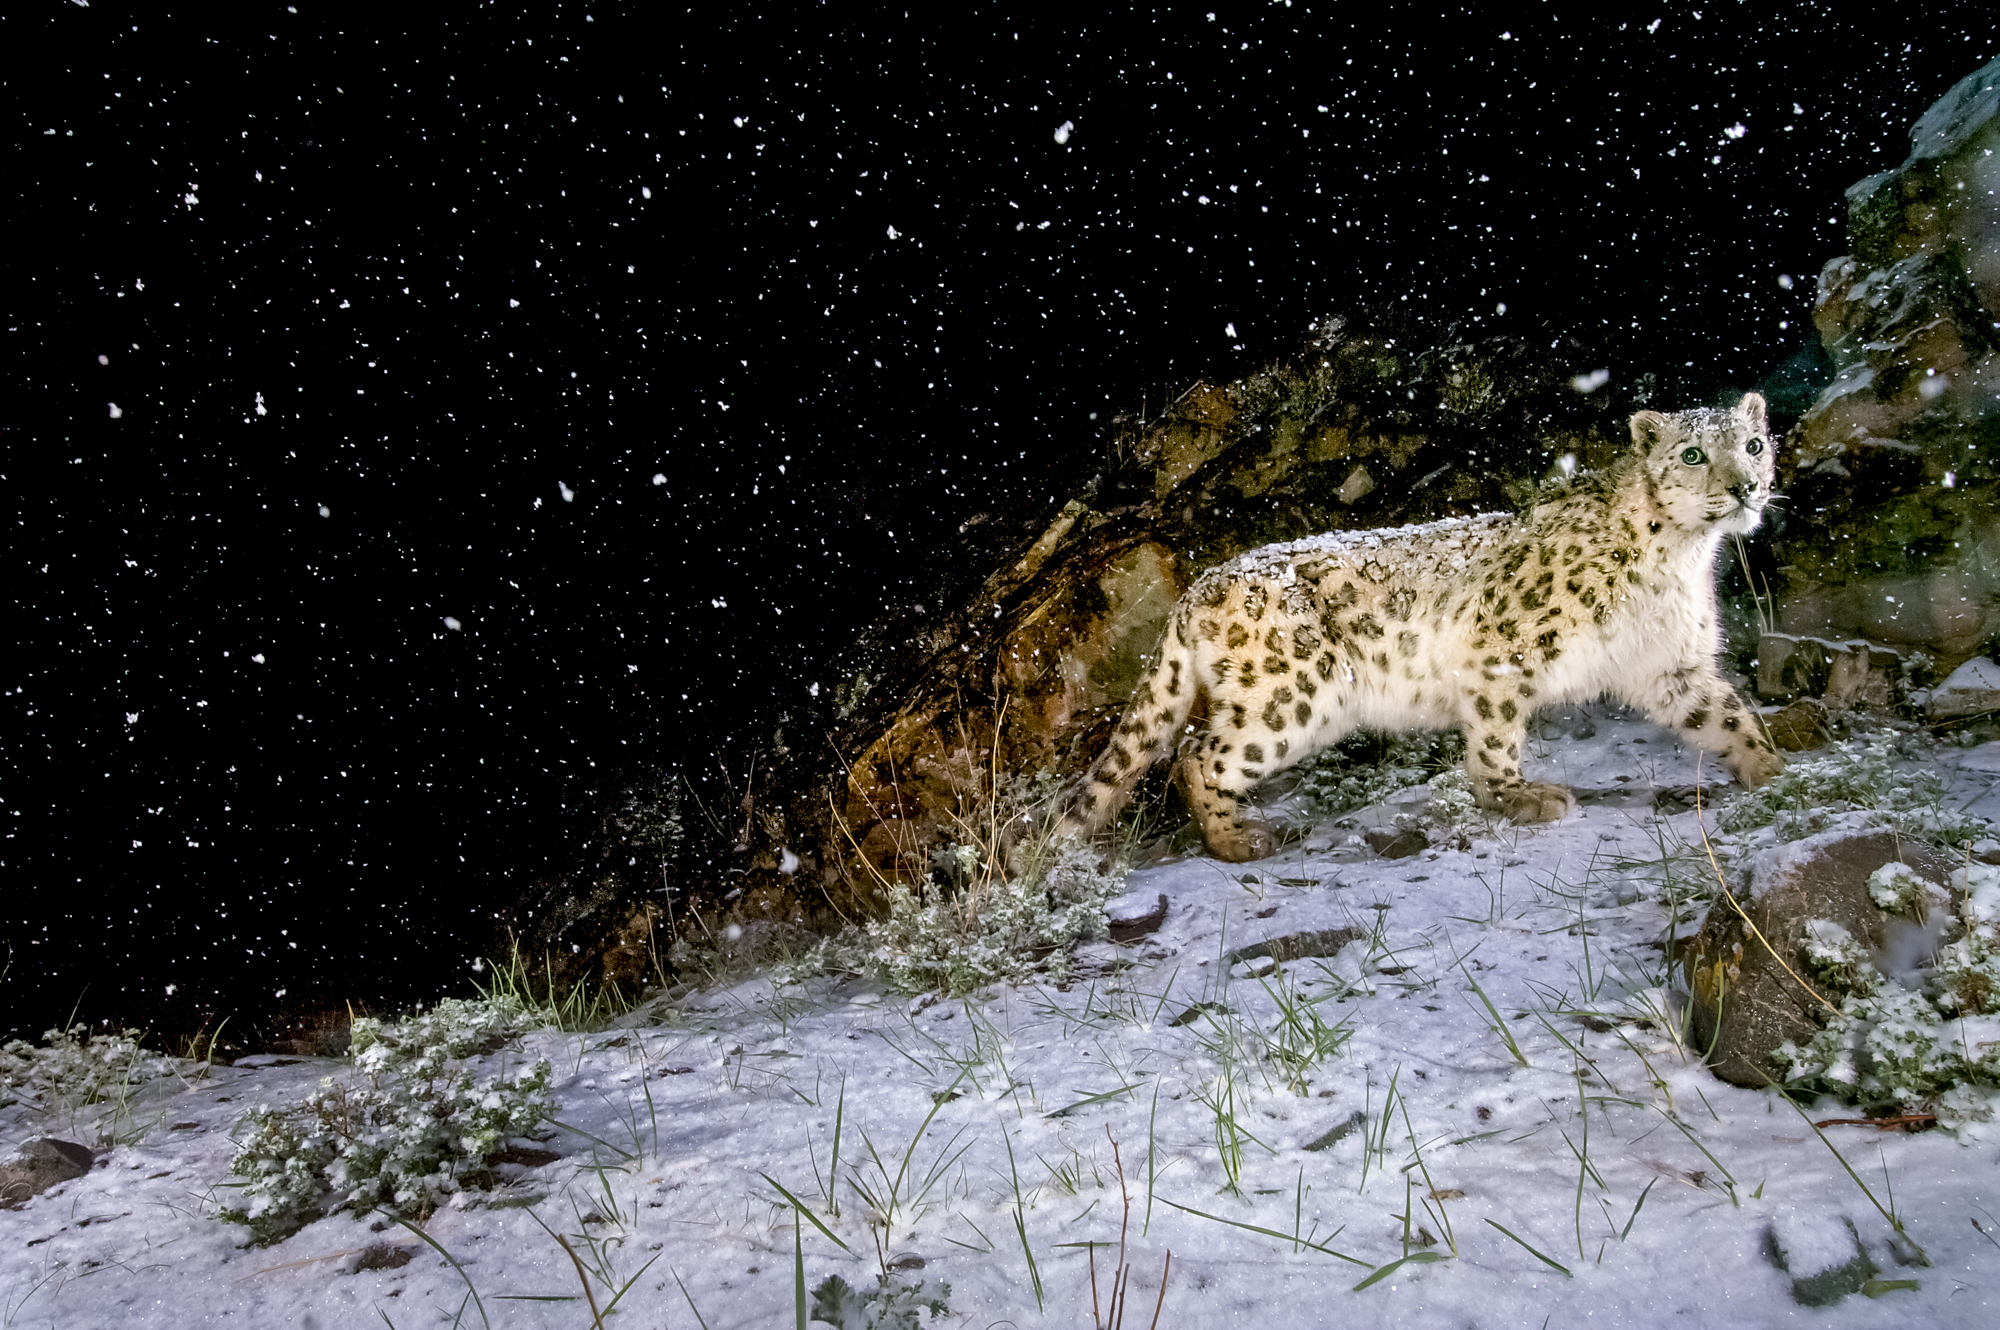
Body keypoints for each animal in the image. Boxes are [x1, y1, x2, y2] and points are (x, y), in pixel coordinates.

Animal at [1058, 392, 1784, 862]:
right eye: (1692, 454)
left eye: (1753, 444)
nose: (1745, 486)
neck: (1680, 560)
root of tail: (1198, 586)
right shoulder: (1502, 651)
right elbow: (1495, 738)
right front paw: (1517, 797)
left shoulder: (1668, 665)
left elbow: (1726, 713)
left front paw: (1771, 770)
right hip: (1295, 696)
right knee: (1196, 755)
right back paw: (1238, 840)